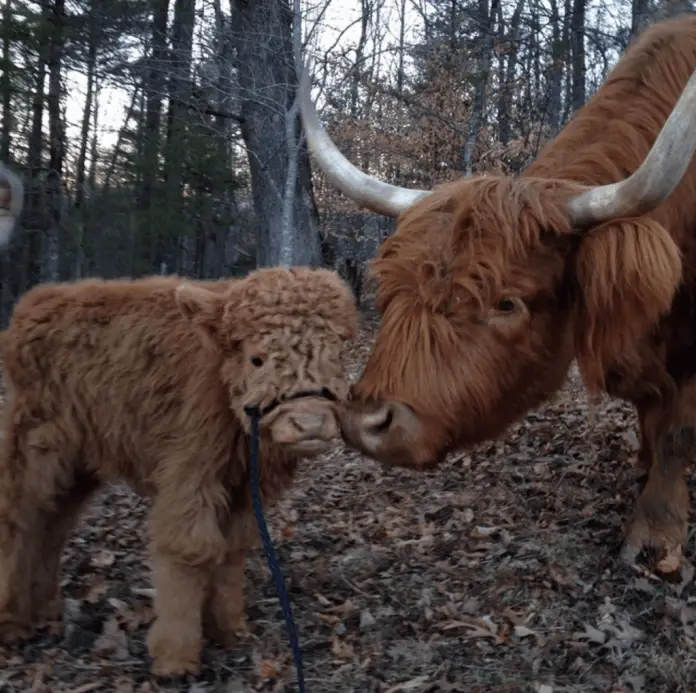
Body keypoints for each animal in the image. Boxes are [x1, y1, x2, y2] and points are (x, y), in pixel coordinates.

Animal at [0, 266, 358, 676]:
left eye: (337, 352)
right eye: (257, 359)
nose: (310, 423)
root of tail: (34, 303)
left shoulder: (242, 489)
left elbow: (232, 549)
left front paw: (228, 628)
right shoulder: (191, 473)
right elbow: (189, 550)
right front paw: (176, 657)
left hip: (78, 464)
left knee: (53, 526)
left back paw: (47, 610)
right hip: (33, 449)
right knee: (19, 521)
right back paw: (12, 623)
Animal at [300, 16, 696, 568]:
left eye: (507, 303)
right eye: (392, 292)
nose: (367, 424)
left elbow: (678, 432)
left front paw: (657, 532)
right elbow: (651, 411)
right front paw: (644, 467)